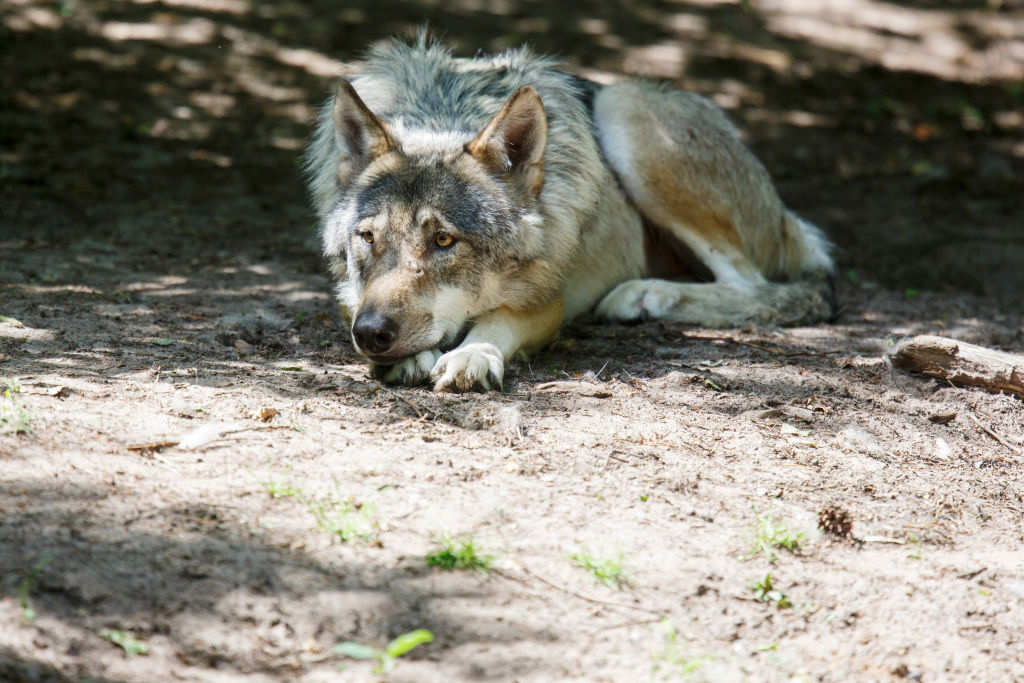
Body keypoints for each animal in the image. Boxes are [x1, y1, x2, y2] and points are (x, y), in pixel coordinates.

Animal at [306, 37, 833, 392]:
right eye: (368, 238)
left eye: (443, 241)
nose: (372, 334)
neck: (444, 114)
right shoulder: (350, 296)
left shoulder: (546, 300)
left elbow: (497, 321)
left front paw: (472, 355)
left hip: (626, 109)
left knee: (769, 289)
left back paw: (643, 295)